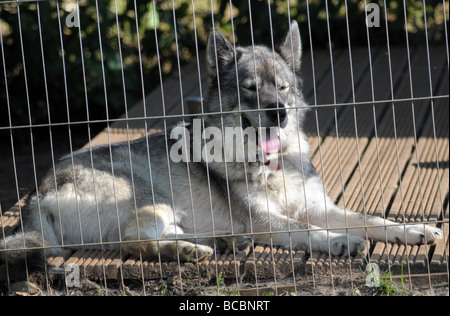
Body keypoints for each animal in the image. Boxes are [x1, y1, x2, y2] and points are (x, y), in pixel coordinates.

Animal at [0, 22, 442, 270]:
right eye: (251, 89)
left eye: (282, 87)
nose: (278, 112)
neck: (270, 165)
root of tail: (34, 197)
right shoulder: (267, 221)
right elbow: (308, 230)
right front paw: (337, 241)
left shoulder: (317, 205)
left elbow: (373, 219)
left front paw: (413, 230)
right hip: (150, 197)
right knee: (133, 241)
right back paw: (189, 252)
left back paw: (220, 243)